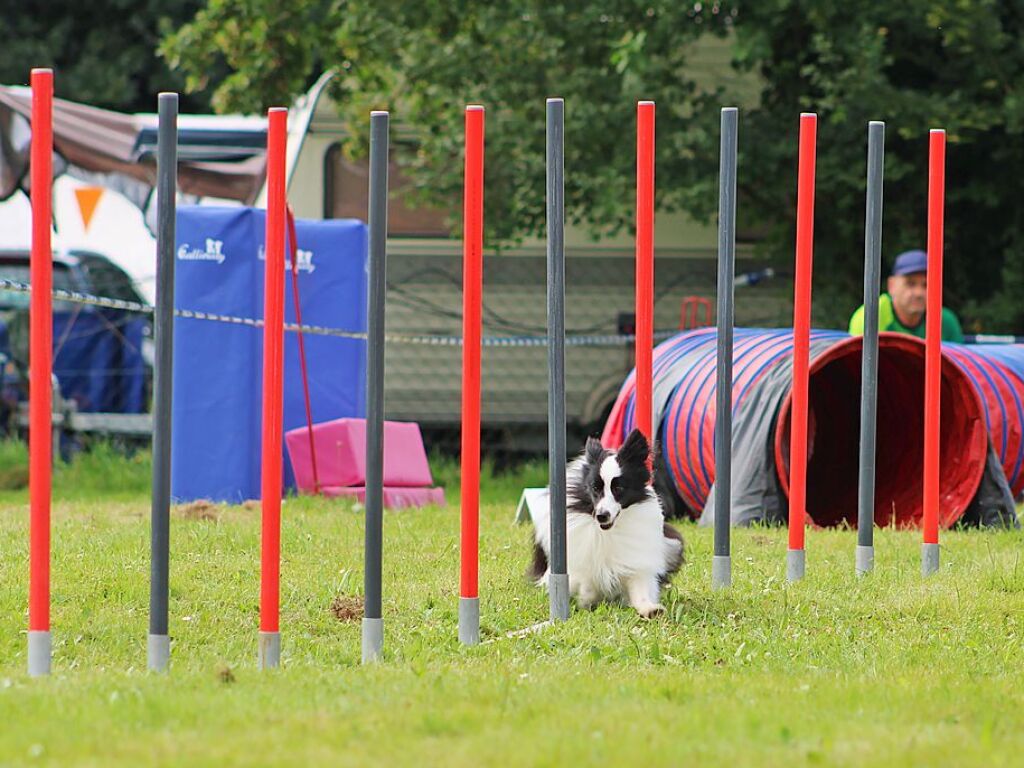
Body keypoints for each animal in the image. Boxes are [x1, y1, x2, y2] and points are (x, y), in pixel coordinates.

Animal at [528, 434, 688, 618]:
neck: (609, 532)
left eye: (618, 488)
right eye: (595, 488)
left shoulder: (636, 563)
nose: (601, 516)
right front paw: (587, 601)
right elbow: (588, 584)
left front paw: (650, 609)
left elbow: (640, 590)